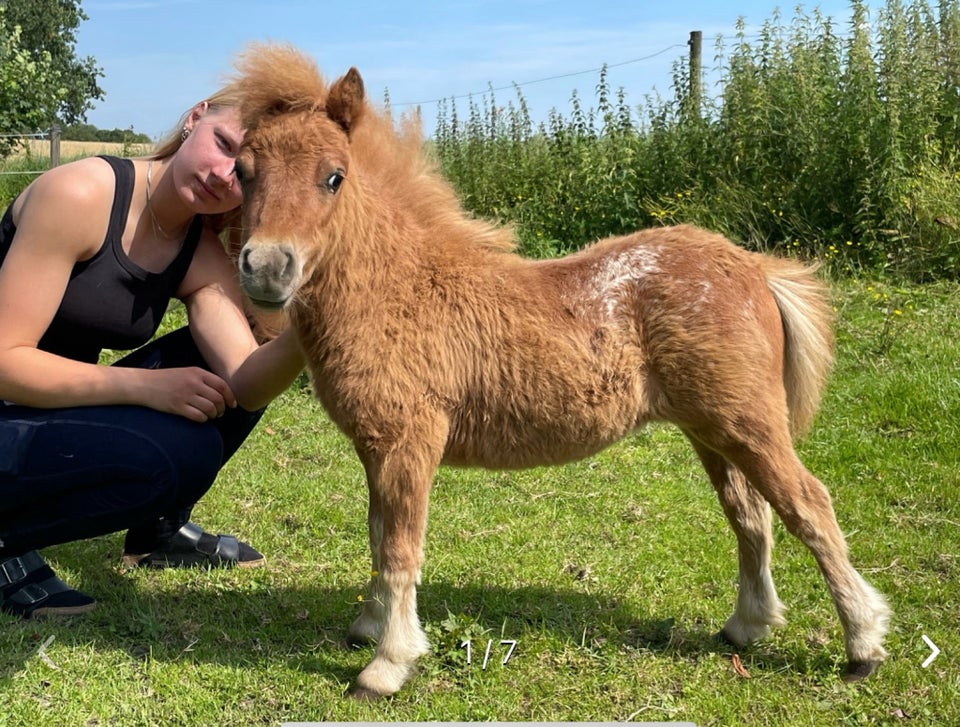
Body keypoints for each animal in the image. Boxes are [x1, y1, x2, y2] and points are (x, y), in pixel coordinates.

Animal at [229, 44, 888, 700]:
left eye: (333, 176)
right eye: (242, 172)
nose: (267, 268)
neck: (401, 290)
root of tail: (751, 266)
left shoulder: (406, 443)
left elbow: (398, 551)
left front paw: (386, 665)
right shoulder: (375, 448)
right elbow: (376, 535)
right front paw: (367, 628)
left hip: (749, 422)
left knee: (808, 506)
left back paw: (863, 645)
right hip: (712, 430)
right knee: (750, 516)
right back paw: (746, 627)